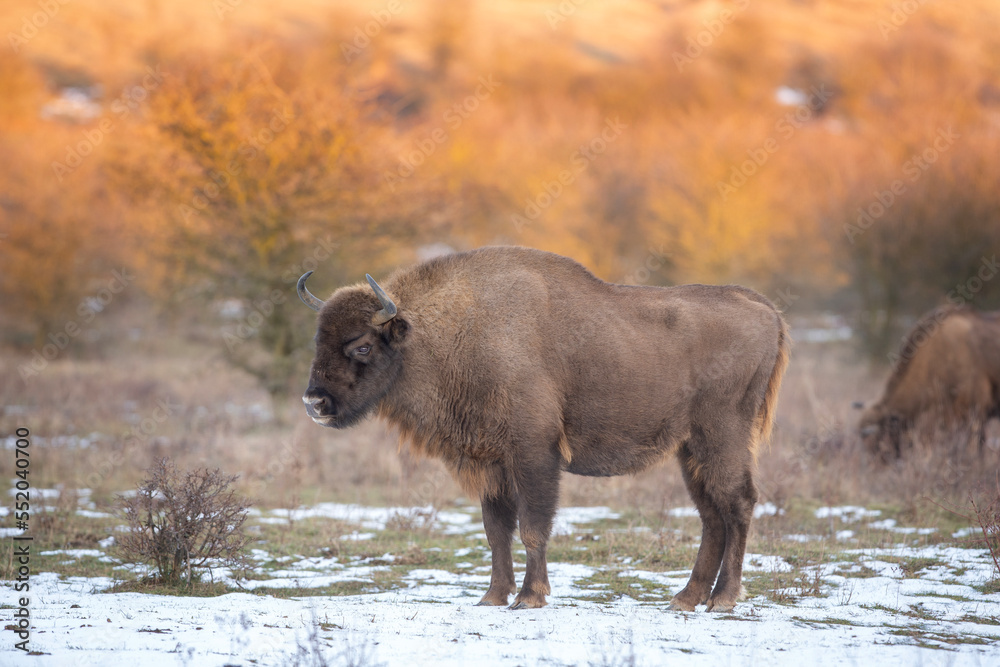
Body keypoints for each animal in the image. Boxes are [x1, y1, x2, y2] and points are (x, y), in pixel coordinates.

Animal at [297, 247, 789, 611]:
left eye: (362, 346)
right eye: (318, 340)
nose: (314, 402)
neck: (449, 331)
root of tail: (763, 308)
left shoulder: (534, 455)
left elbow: (533, 527)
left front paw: (530, 597)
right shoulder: (492, 464)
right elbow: (496, 531)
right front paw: (492, 597)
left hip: (721, 438)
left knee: (738, 504)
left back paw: (723, 599)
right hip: (690, 450)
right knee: (712, 516)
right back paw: (685, 599)